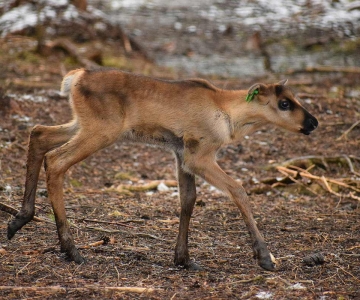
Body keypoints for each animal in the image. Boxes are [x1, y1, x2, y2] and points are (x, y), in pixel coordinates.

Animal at [7, 68, 318, 272]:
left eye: (296, 97)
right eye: (284, 103)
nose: (313, 122)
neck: (230, 115)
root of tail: (76, 76)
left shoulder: (181, 155)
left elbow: (188, 201)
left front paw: (183, 258)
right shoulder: (199, 155)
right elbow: (238, 190)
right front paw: (265, 257)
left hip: (81, 124)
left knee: (39, 134)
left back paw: (20, 219)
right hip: (101, 131)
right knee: (56, 161)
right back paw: (71, 250)